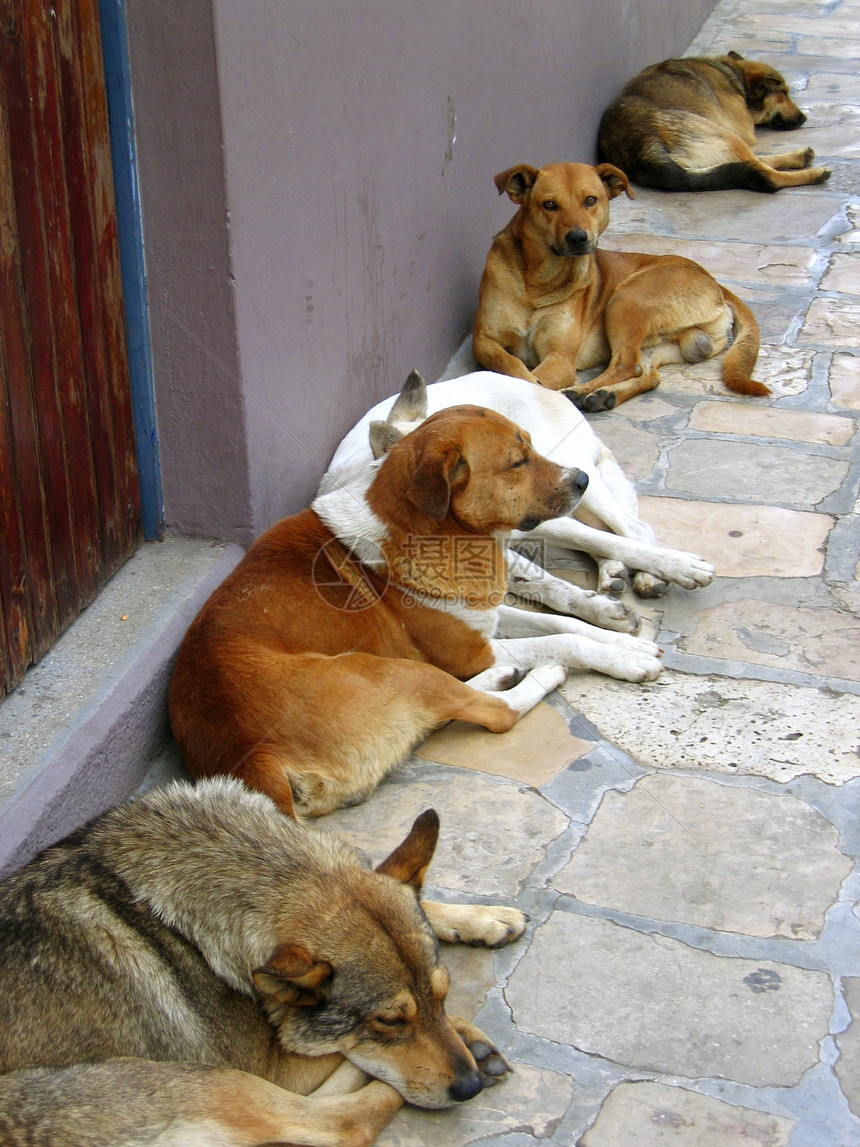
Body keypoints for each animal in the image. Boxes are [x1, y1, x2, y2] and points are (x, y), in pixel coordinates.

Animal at [0, 779, 525, 1147]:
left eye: (443, 993)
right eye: (390, 1021)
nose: (469, 1087)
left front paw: (484, 918)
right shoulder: (274, 1066)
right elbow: (341, 1048)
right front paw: (464, 1034)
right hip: (200, 1082)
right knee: (344, 1121)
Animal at [172, 403, 665, 816]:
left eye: (531, 443)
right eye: (516, 461)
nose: (582, 480)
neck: (439, 534)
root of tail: (252, 759)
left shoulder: (483, 619)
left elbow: (557, 622)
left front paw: (622, 636)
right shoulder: (471, 651)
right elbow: (564, 640)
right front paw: (628, 660)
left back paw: (499, 678)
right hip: (387, 669)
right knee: (494, 712)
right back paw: (534, 676)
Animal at [321, 371, 715, 637]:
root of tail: (540, 387)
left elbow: (570, 570)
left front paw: (675, 568)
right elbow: (546, 584)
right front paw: (599, 608)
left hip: (574, 486)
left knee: (629, 528)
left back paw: (652, 571)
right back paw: (614, 571)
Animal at [596, 51, 830, 193]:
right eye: (783, 93)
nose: (804, 118)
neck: (734, 74)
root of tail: (641, 148)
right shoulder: (746, 131)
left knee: (755, 162)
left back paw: (799, 156)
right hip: (727, 136)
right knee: (765, 172)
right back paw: (813, 173)